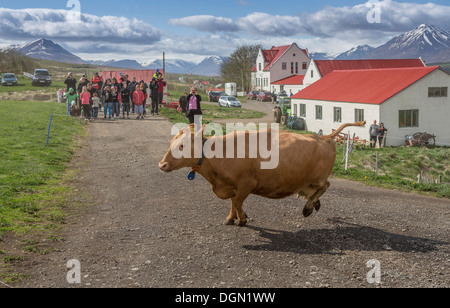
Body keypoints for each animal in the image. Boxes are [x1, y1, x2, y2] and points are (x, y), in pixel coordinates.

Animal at [159, 121, 366, 226]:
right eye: (171, 143)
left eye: (182, 145)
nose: (162, 164)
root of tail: (325, 137)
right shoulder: (232, 186)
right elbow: (233, 203)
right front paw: (231, 218)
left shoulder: (246, 184)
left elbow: (237, 202)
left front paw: (242, 219)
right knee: (316, 192)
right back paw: (314, 204)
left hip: (318, 178)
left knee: (325, 186)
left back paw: (308, 207)